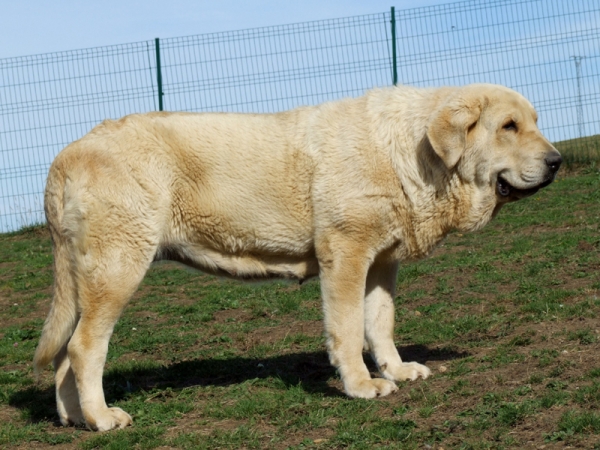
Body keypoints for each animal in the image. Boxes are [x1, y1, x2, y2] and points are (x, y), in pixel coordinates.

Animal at [32, 82, 560, 430]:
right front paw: (362, 385)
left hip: (88, 280)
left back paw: (75, 419)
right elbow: (348, 329)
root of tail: (65, 155)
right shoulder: (346, 254)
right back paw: (102, 418)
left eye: (535, 122)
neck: (412, 157)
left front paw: (396, 370)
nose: (556, 161)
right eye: (509, 126)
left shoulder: (381, 263)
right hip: (118, 268)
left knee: (63, 356)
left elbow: (380, 324)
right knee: (83, 347)